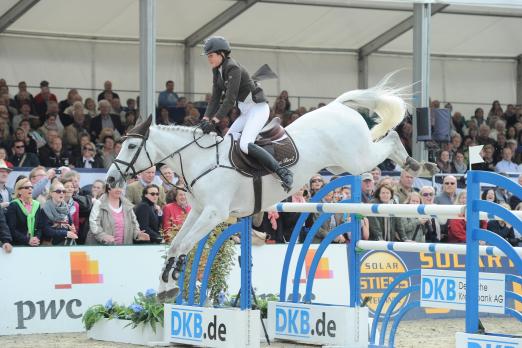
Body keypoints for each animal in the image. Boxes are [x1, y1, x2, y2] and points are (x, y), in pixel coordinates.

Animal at [105, 80, 434, 298]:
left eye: (131, 146)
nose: (109, 181)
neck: (200, 160)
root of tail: (337, 105)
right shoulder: (198, 211)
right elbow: (175, 245)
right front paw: (166, 285)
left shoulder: (213, 214)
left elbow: (185, 245)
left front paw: (172, 280)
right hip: (342, 166)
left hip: (357, 158)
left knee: (391, 138)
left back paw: (420, 166)